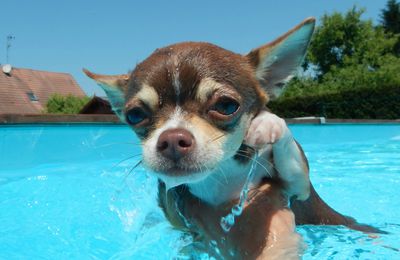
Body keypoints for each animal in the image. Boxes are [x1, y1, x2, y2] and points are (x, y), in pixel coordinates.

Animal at [83, 17, 382, 258]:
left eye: (226, 106)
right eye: (135, 115)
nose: (172, 139)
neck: (220, 177)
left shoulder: (298, 187)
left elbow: (290, 157)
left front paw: (268, 124)